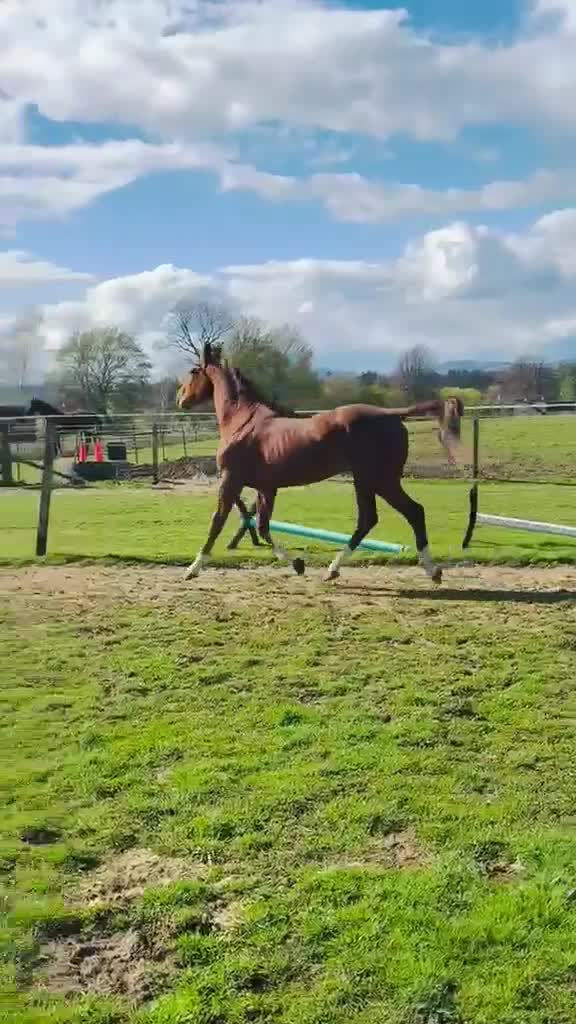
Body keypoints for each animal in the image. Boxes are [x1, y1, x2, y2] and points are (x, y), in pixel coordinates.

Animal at [176, 343, 463, 585]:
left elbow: (218, 521)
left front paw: (193, 568)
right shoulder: (266, 488)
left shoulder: (231, 480)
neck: (242, 421)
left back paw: (431, 570)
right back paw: (334, 570)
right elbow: (263, 526)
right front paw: (298, 564)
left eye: (193, 371)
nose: (181, 398)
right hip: (366, 480)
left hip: (380, 479)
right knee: (370, 519)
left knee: (411, 512)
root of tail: (390, 414)